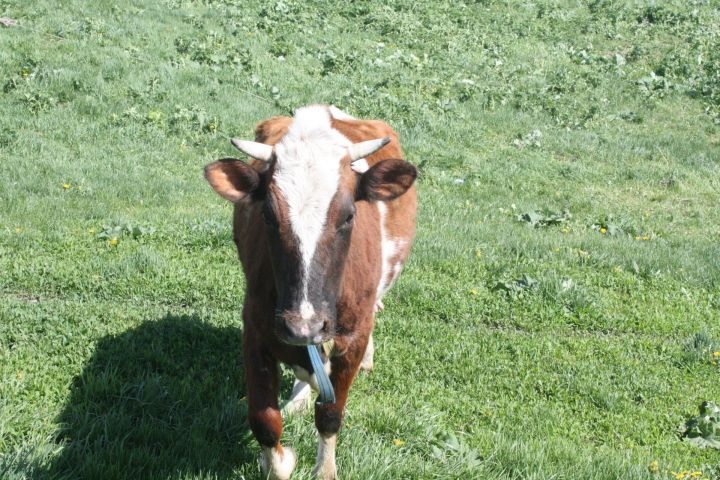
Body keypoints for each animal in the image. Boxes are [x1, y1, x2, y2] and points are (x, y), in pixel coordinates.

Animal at [202, 105, 416, 480]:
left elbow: (330, 414)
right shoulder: (255, 329)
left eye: (349, 215)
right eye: (267, 215)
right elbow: (264, 419)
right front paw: (279, 462)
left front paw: (325, 470)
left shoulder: (353, 336)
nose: (303, 326)